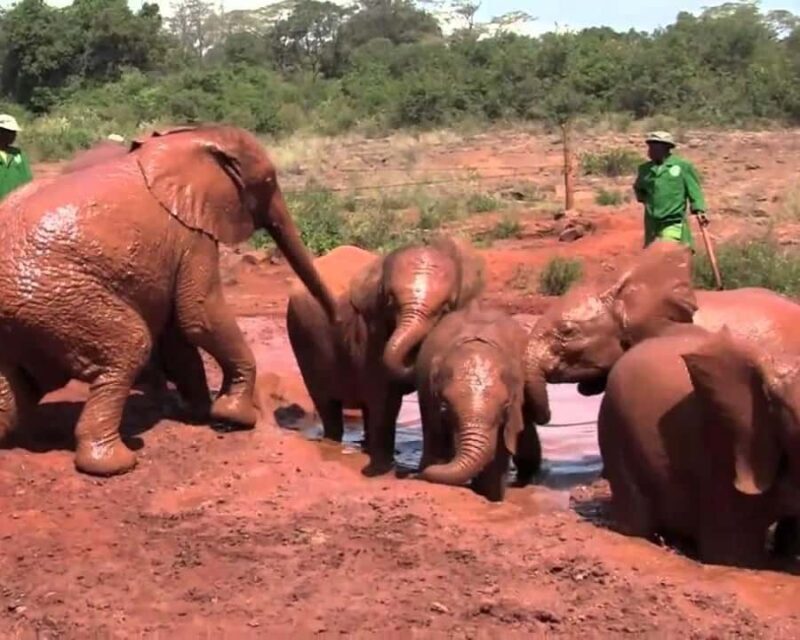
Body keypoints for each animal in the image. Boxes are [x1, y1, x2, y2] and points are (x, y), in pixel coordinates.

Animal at [0, 124, 338, 476]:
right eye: (270, 182)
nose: (336, 320)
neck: (186, 139)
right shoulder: (191, 233)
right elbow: (199, 315)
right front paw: (236, 418)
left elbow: (178, 334)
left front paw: (199, 413)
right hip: (61, 299)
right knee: (129, 346)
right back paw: (119, 462)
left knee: (18, 384)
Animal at [286, 236, 485, 474]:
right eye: (390, 301)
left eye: (446, 308)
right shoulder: (370, 330)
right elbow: (384, 397)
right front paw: (385, 466)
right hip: (303, 339)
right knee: (327, 403)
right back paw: (334, 444)